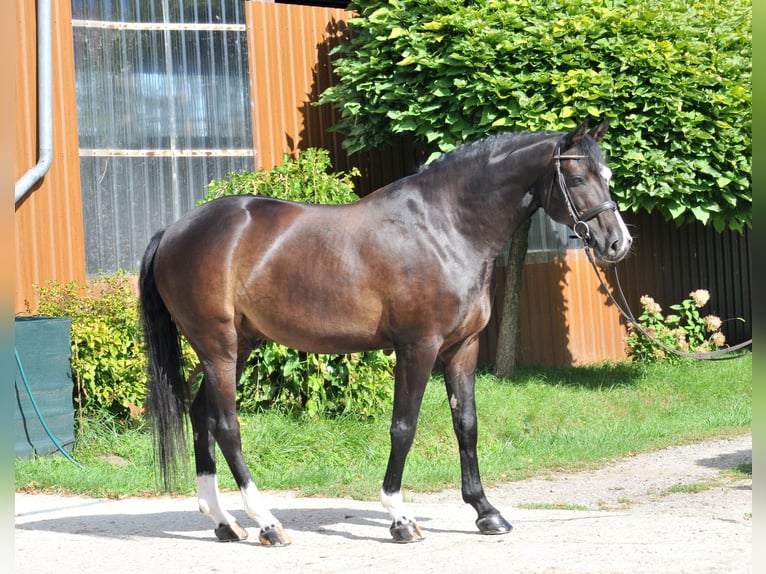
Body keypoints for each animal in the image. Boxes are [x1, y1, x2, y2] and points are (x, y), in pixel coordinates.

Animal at [139, 119, 632, 546]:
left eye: (606, 175)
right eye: (577, 177)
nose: (618, 243)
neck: (447, 227)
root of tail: (174, 231)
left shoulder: (462, 348)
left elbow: (466, 425)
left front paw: (486, 511)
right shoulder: (418, 346)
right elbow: (404, 427)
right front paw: (400, 517)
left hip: (240, 345)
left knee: (201, 416)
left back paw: (224, 522)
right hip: (218, 347)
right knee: (226, 426)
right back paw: (268, 524)